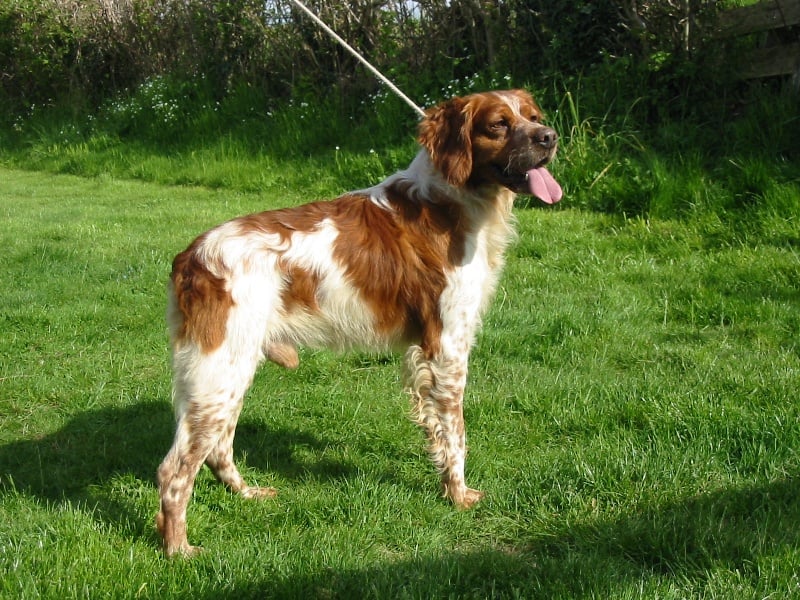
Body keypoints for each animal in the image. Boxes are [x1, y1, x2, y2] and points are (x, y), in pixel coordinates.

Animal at [156, 89, 561, 556]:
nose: (549, 137)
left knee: (218, 448)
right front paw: (458, 496)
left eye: (534, 116)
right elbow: (456, 434)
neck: (452, 199)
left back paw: (247, 494)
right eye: (498, 124)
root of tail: (192, 257)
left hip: (231, 372)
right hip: (219, 371)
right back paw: (178, 550)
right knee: (175, 469)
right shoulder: (446, 347)